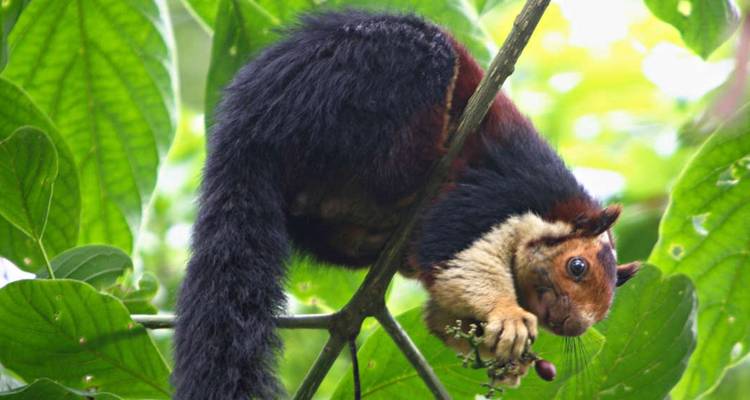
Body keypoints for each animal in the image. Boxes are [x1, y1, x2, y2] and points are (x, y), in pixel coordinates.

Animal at [172, 10, 641, 399]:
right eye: (577, 267)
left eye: (603, 311)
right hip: (380, 87)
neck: (552, 208)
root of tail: (249, 121)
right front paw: (507, 315)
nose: (571, 326)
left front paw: (503, 360)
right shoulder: (491, 195)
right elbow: (457, 257)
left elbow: (439, 308)